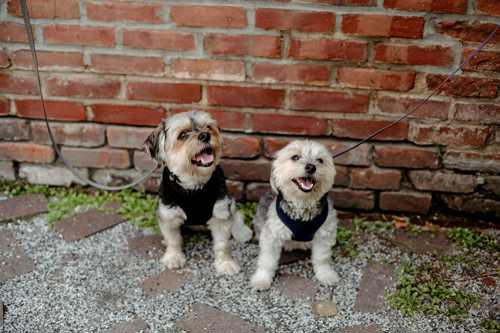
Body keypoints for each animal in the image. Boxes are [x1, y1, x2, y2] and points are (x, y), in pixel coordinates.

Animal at [144, 110, 249, 274]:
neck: (194, 187)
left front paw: (225, 263)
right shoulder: (168, 214)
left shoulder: (220, 212)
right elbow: (173, 240)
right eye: (183, 135)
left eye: (208, 127)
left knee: (236, 214)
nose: (205, 135)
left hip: (229, 201)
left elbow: (222, 244)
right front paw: (173, 257)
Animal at [250, 139, 340, 288]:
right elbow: (267, 261)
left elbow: (322, 258)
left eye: (320, 160)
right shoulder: (271, 235)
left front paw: (325, 274)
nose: (311, 167)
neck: (302, 204)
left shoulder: (324, 235)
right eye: (295, 157)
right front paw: (262, 279)